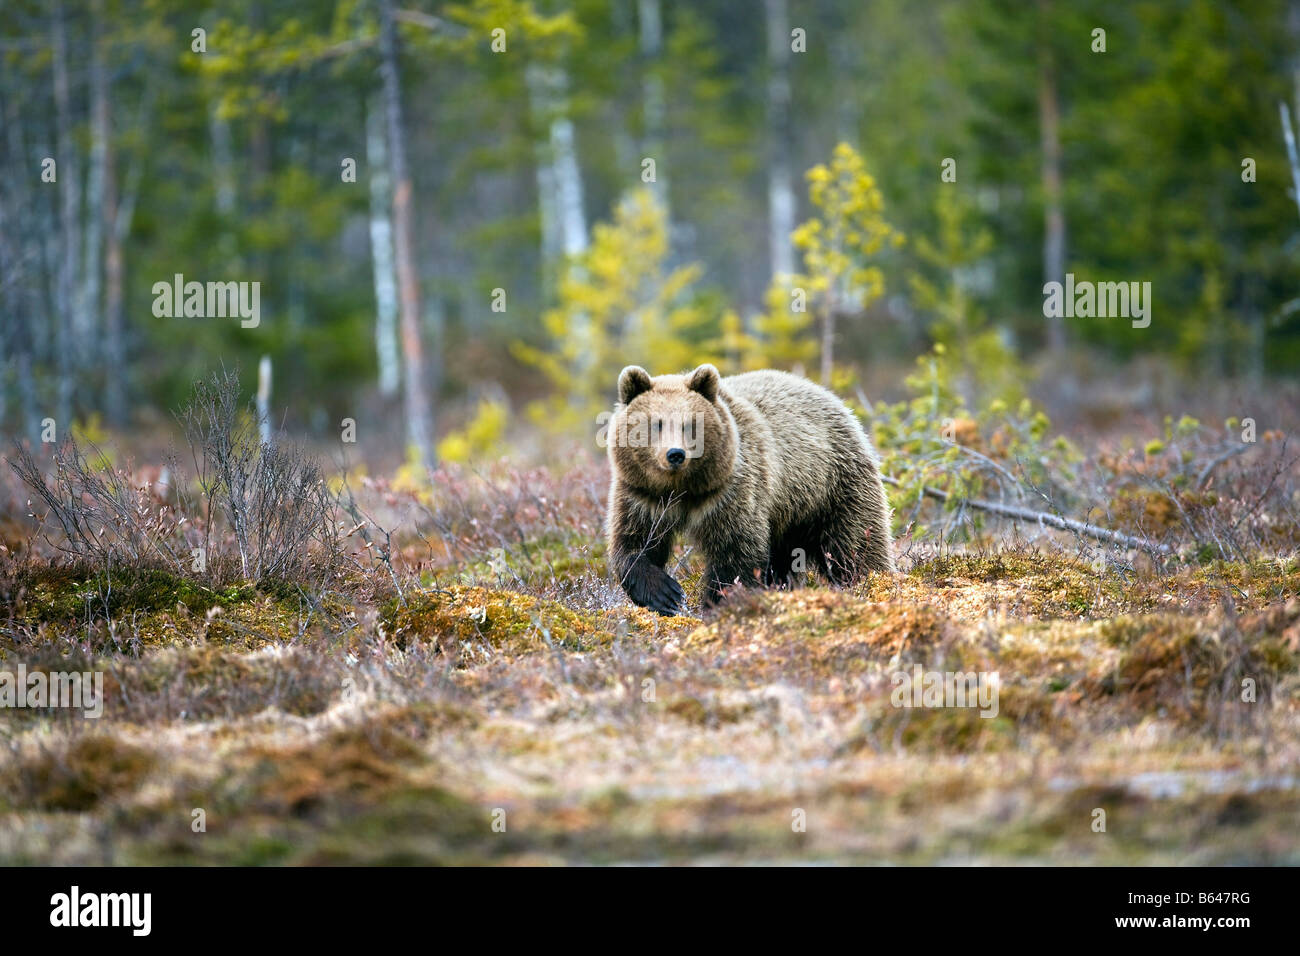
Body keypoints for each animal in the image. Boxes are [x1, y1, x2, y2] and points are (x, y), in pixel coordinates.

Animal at [600, 361, 889, 616]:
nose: (675, 454)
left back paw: (873, 582)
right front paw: (665, 594)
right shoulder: (641, 495)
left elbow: (736, 553)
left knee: (855, 543)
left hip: (833, 485)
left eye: (690, 424)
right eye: (656, 423)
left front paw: (718, 604)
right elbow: (633, 544)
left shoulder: (732, 492)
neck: (682, 490)